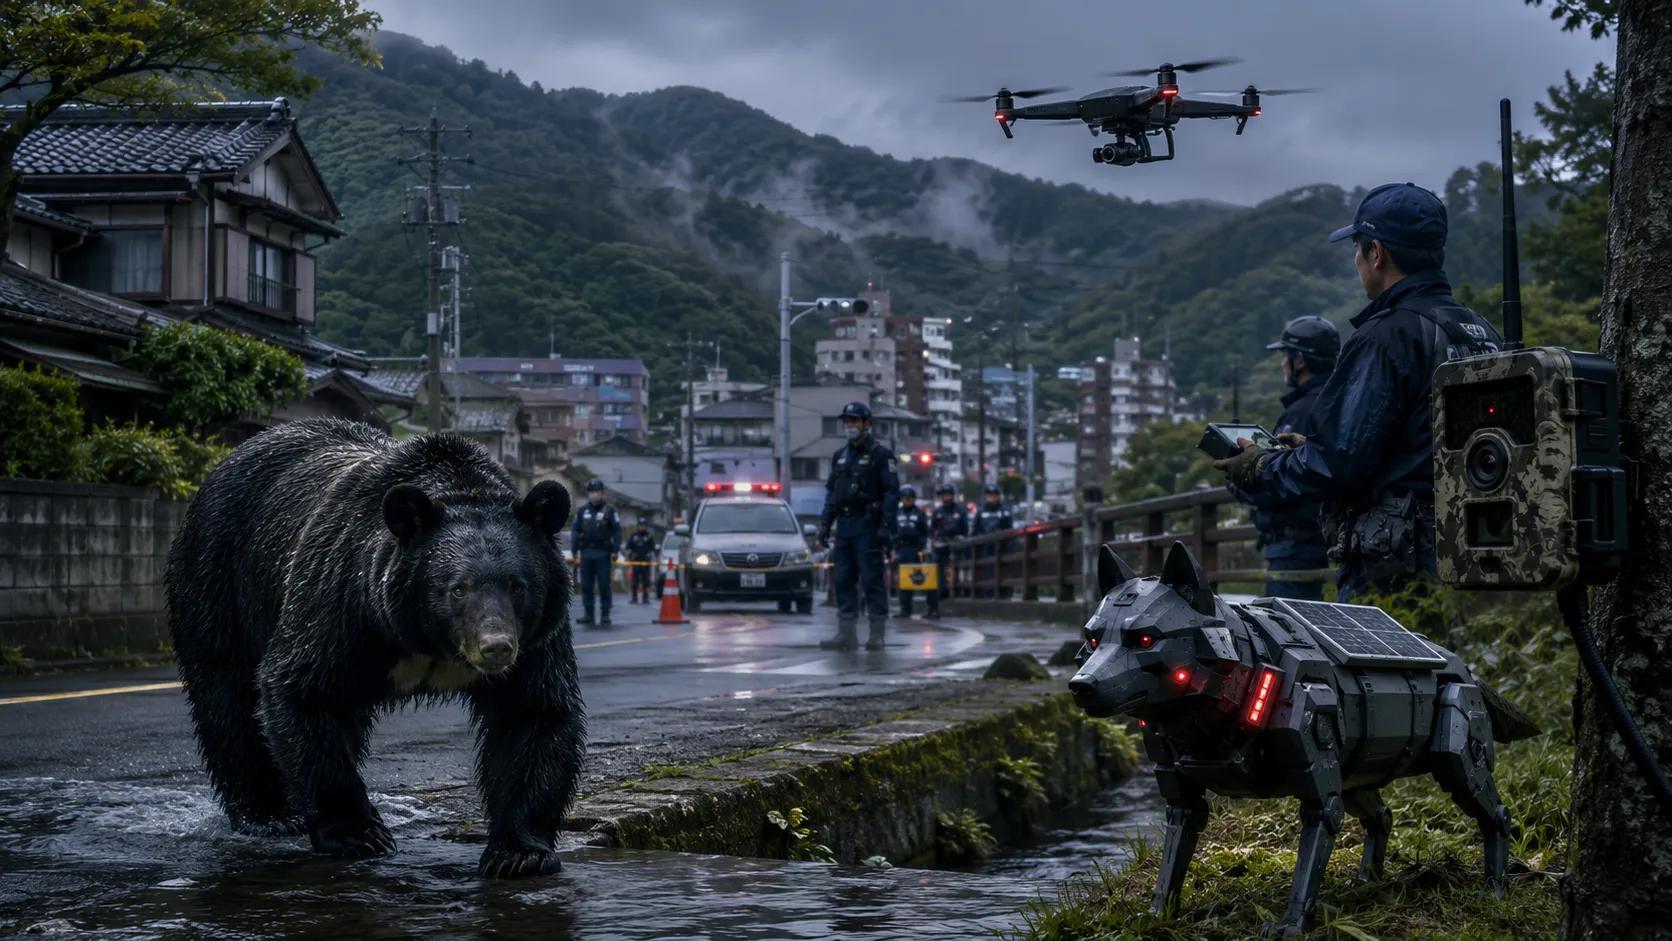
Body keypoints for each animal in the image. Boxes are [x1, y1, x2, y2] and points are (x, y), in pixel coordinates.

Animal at [165, 418, 582, 877]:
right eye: (458, 588)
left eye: (517, 586)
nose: (496, 648)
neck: (423, 638)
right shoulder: (343, 597)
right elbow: (303, 687)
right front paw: (358, 833)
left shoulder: (538, 638)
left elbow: (532, 712)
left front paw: (519, 852)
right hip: (217, 580)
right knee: (227, 696)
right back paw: (269, 815)